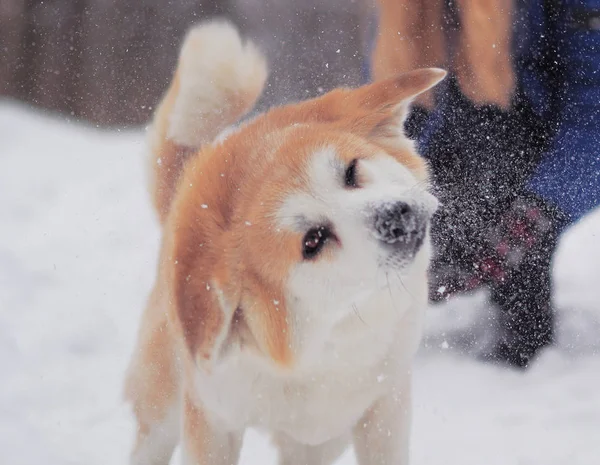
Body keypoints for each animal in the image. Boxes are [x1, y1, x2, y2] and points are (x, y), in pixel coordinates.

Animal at [125, 19, 446, 464]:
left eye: (351, 171)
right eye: (313, 240)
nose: (395, 217)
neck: (325, 341)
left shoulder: (386, 406)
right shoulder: (213, 420)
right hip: (162, 405)